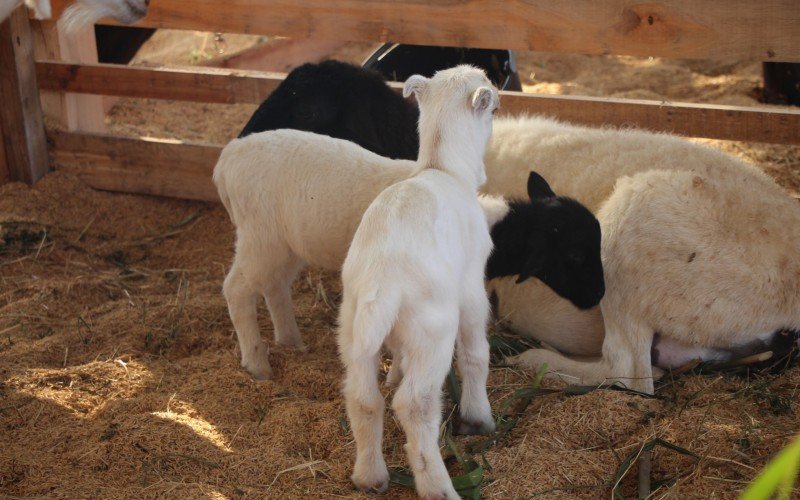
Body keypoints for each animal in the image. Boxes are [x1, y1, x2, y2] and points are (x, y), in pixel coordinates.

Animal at [340, 67, 500, 500]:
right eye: (494, 108)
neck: (442, 167)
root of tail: (384, 277)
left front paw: (395, 371)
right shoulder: (471, 284)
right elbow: (476, 353)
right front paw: (479, 419)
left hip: (352, 327)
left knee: (364, 398)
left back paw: (370, 476)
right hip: (433, 331)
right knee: (415, 404)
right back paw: (438, 486)